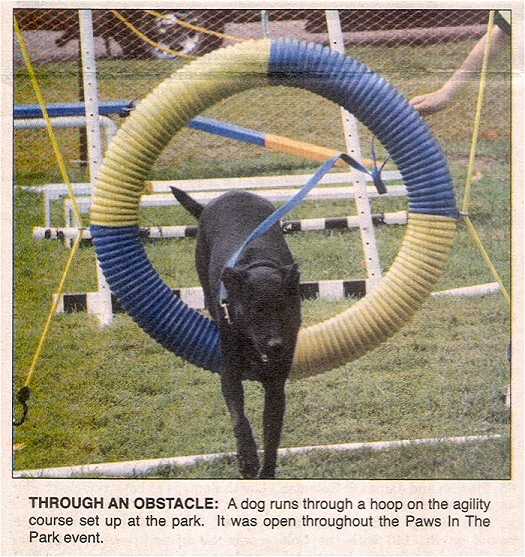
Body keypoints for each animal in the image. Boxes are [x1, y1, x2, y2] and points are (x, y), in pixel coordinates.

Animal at [171, 187, 298, 478]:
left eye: (284, 309)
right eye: (255, 311)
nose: (276, 346)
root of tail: (231, 193)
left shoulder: (276, 384)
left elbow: (272, 434)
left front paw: (266, 473)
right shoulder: (228, 373)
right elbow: (240, 418)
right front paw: (248, 460)